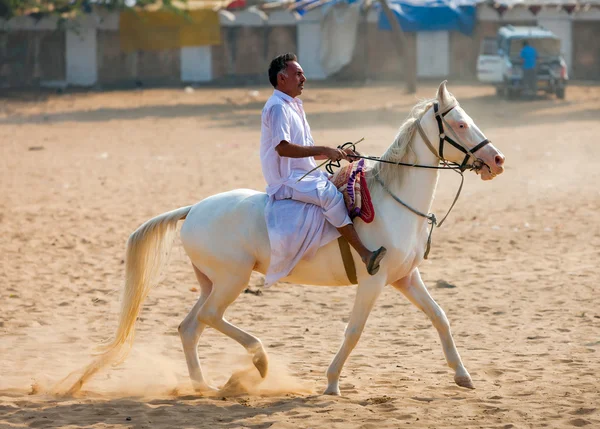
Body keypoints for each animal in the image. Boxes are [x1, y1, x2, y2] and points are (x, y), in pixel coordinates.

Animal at [65, 80, 504, 394]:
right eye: (460, 124)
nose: (497, 160)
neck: (393, 202)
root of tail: (194, 209)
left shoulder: (405, 278)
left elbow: (440, 317)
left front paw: (463, 376)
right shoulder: (375, 280)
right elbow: (354, 331)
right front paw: (331, 383)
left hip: (210, 282)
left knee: (190, 327)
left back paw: (205, 385)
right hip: (233, 280)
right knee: (209, 318)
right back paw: (257, 364)